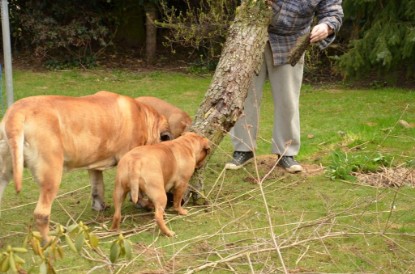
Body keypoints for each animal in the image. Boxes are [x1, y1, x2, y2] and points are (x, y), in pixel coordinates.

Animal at [0, 91, 171, 241]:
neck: (144, 117)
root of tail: (16, 113)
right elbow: (137, 191)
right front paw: (144, 203)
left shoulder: (94, 166)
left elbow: (97, 188)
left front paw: (99, 207)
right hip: (51, 173)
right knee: (41, 214)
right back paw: (49, 240)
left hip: (5, 173)